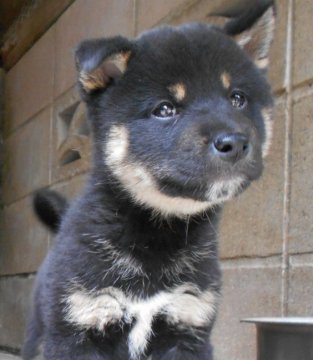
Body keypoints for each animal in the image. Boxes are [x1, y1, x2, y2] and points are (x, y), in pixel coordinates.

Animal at [23, 3, 274, 360]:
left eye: (237, 99)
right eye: (165, 109)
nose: (235, 142)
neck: (156, 238)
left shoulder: (188, 324)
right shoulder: (78, 326)